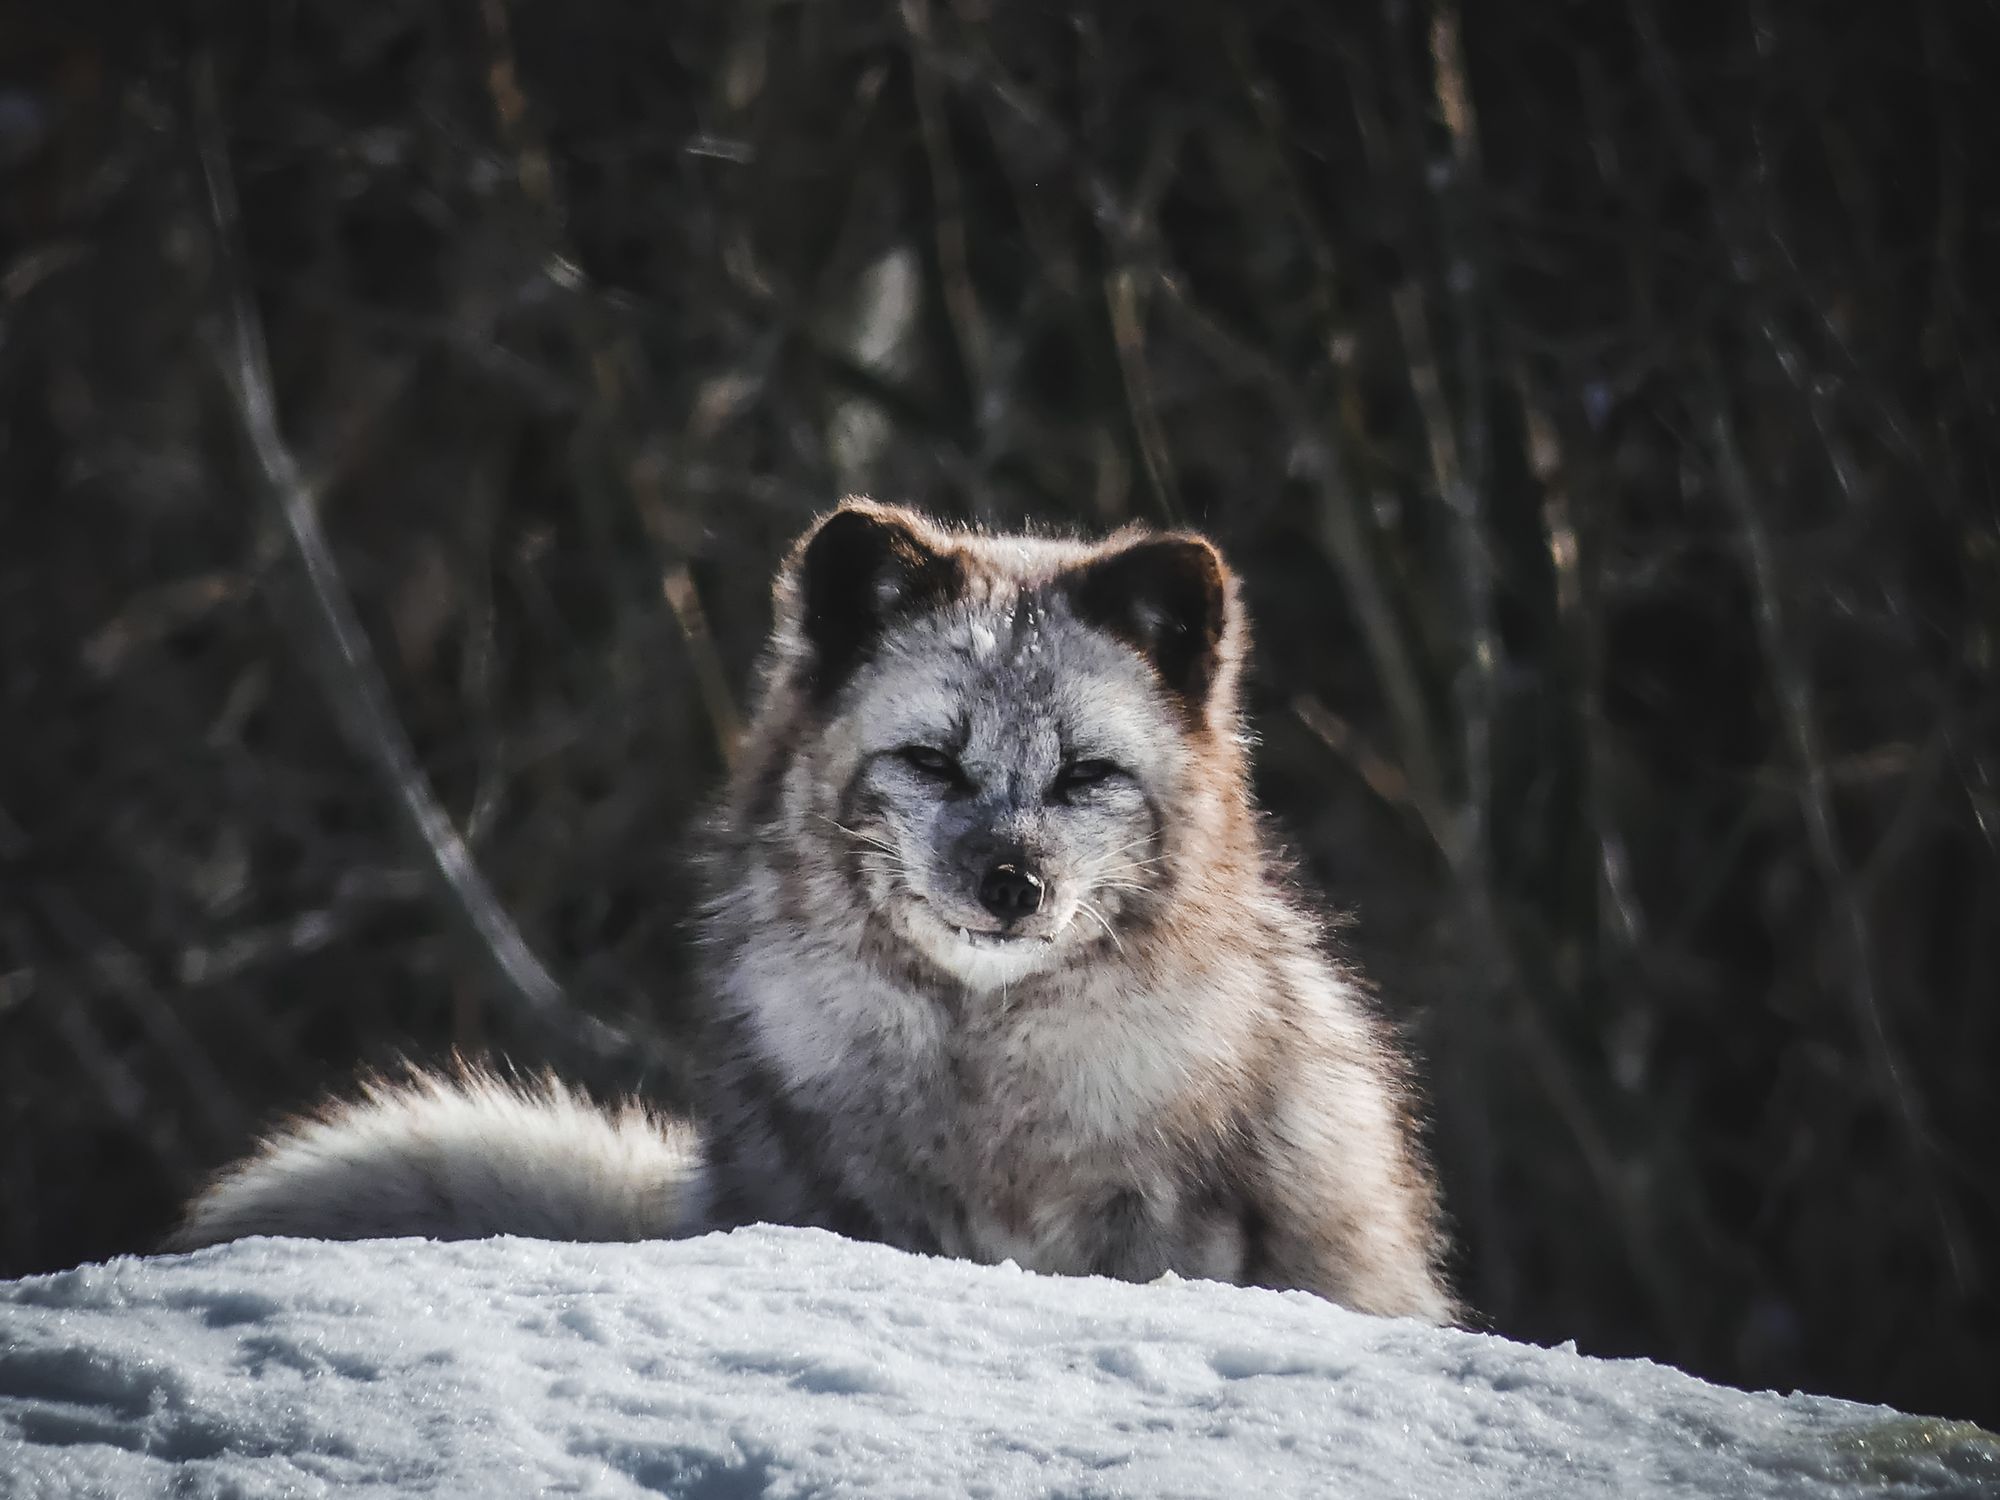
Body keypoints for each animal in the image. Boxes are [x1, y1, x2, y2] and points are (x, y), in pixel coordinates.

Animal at [168, 506, 1456, 1328]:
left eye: (1086, 774)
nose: (1011, 884)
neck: (983, 1076)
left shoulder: (1168, 1225)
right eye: (931, 760)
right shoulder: (843, 1202)